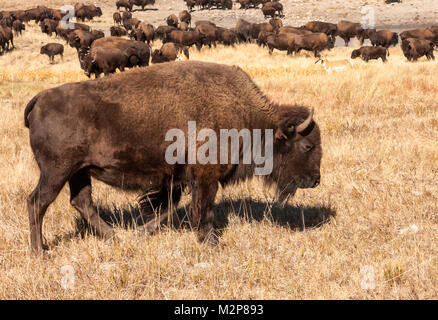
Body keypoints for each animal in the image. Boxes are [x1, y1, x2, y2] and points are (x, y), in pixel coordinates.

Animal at [24, 61, 322, 254]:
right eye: (307, 146)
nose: (316, 180)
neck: (249, 117)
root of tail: (40, 99)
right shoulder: (204, 177)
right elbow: (204, 208)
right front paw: (211, 242)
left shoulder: (176, 179)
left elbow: (167, 208)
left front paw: (141, 232)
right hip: (56, 172)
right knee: (38, 202)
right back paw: (40, 251)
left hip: (79, 172)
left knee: (81, 201)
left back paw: (114, 237)